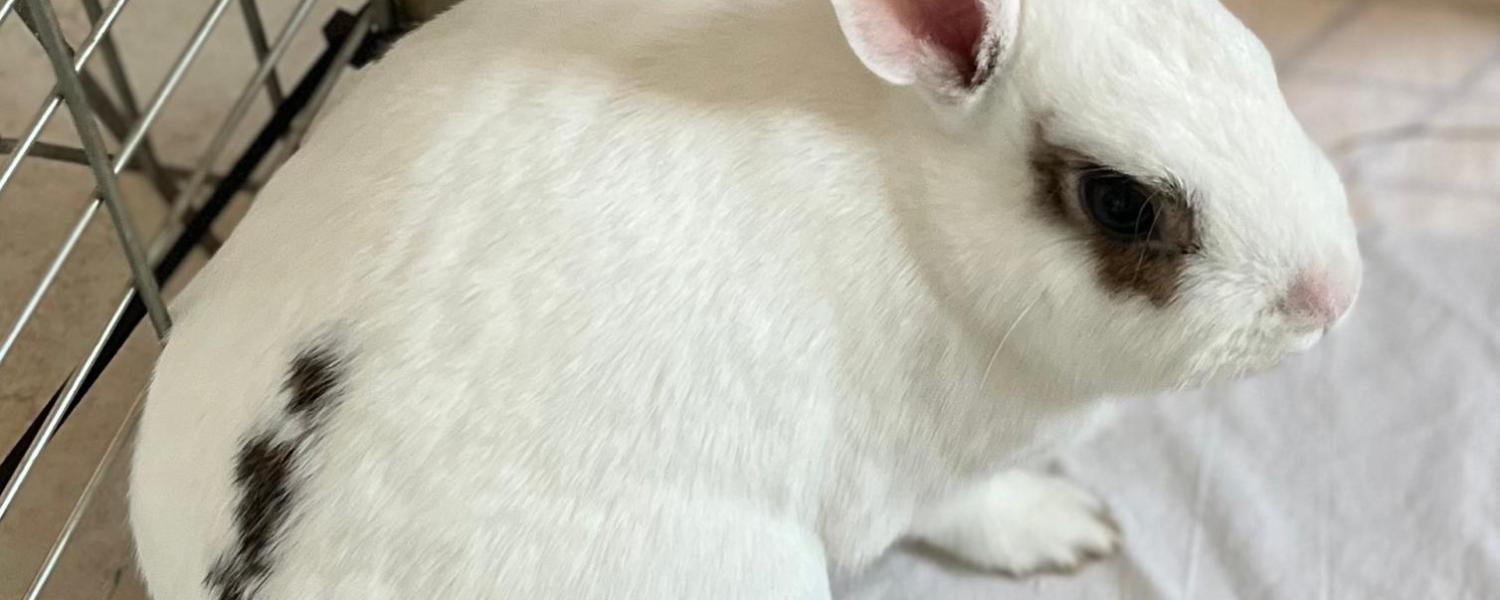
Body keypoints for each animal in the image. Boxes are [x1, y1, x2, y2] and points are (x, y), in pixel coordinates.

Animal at [129, 0, 1361, 598]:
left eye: (1253, 54)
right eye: (1118, 203)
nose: (1334, 295)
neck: (910, 190)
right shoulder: (904, 476)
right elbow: (973, 511)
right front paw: (1067, 530)